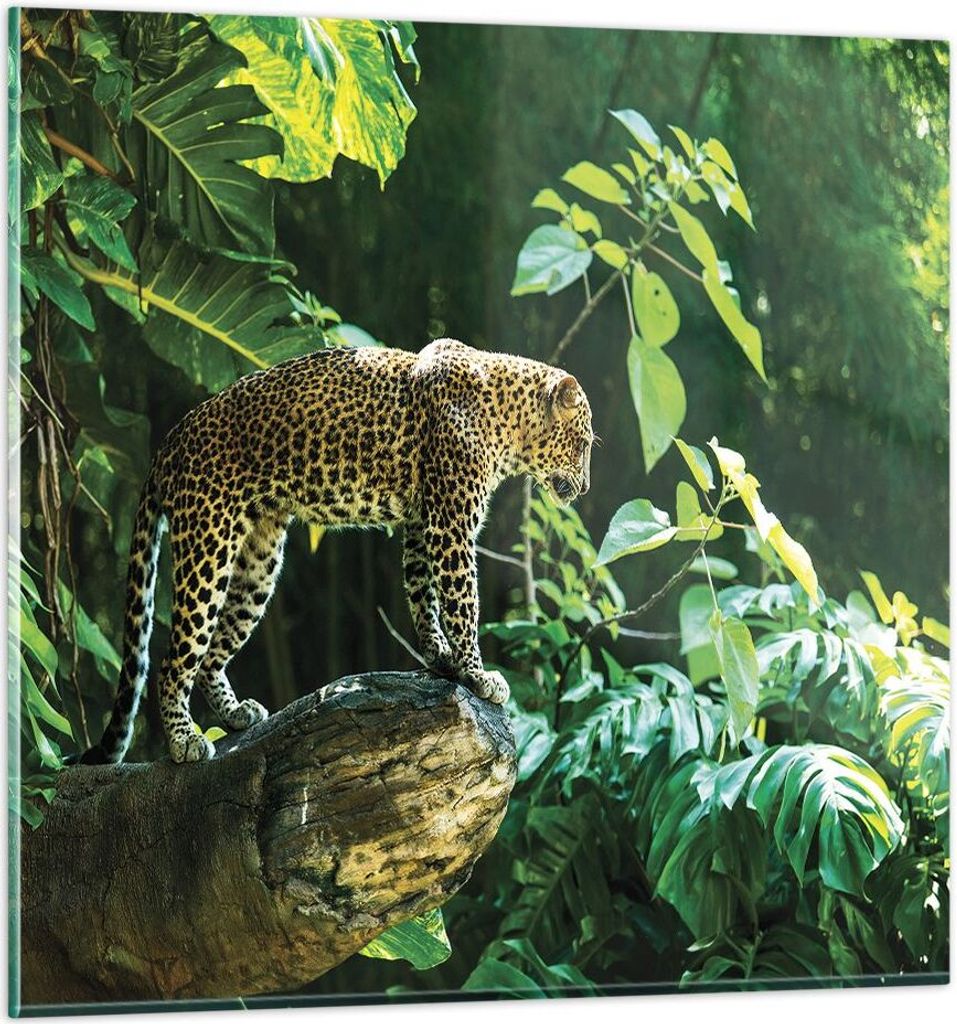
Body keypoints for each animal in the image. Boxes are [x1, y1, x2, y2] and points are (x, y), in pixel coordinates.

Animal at [81, 338, 594, 765]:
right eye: (583, 444)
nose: (587, 488)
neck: (507, 418)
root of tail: (169, 439)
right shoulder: (450, 526)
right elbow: (462, 603)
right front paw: (477, 675)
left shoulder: (420, 523)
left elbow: (423, 597)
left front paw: (441, 659)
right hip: (207, 544)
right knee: (174, 660)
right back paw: (184, 740)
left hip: (259, 561)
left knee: (210, 655)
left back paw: (236, 715)